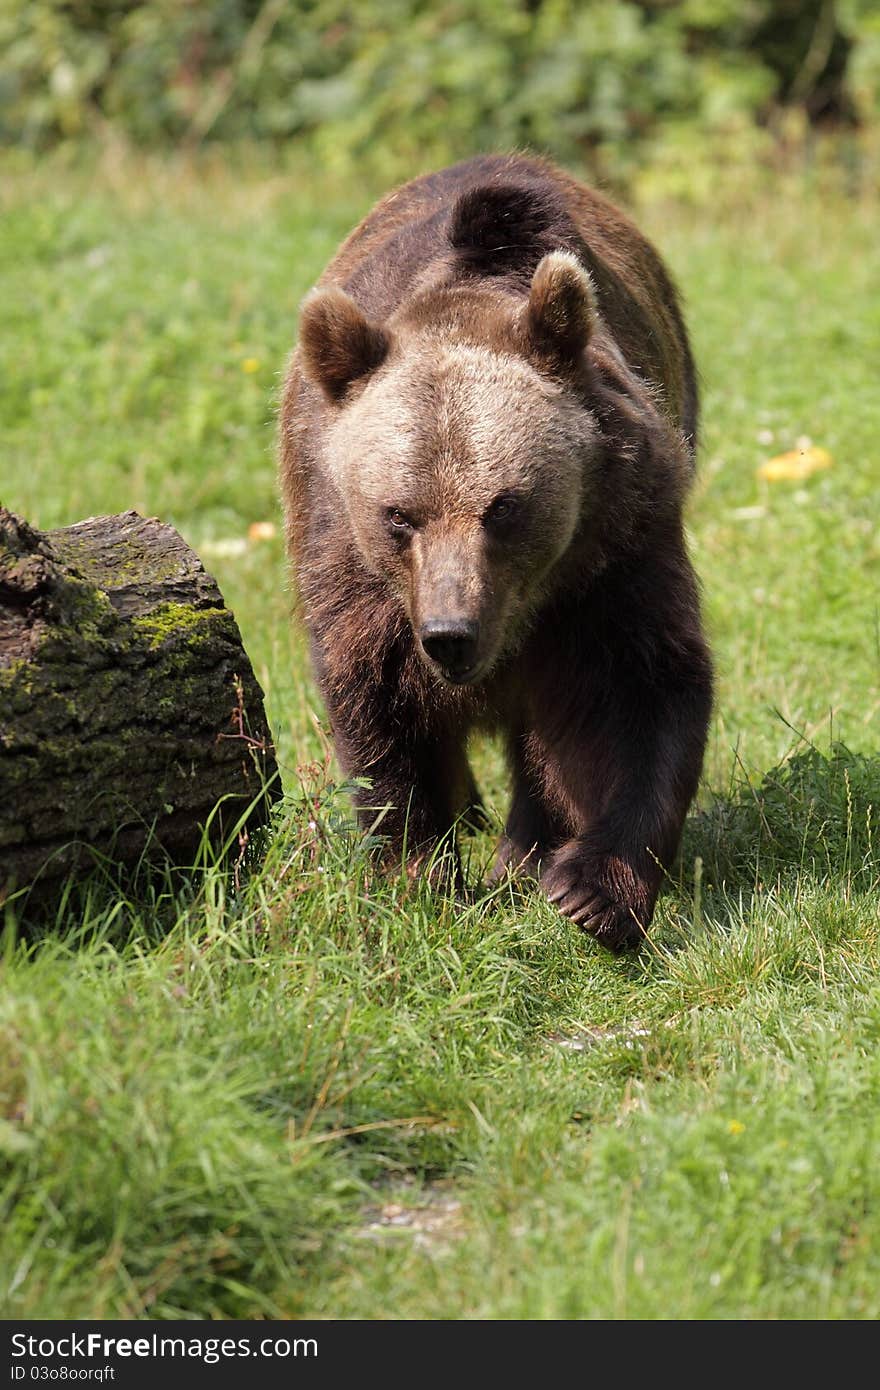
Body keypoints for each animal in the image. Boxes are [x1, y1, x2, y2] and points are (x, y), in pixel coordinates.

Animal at [280, 157, 711, 950]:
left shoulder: (615, 548)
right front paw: (417, 874)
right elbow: (378, 703)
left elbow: (636, 688)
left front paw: (590, 890)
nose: (451, 635)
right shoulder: (350, 562)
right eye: (400, 515)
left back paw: (523, 852)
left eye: (504, 506)